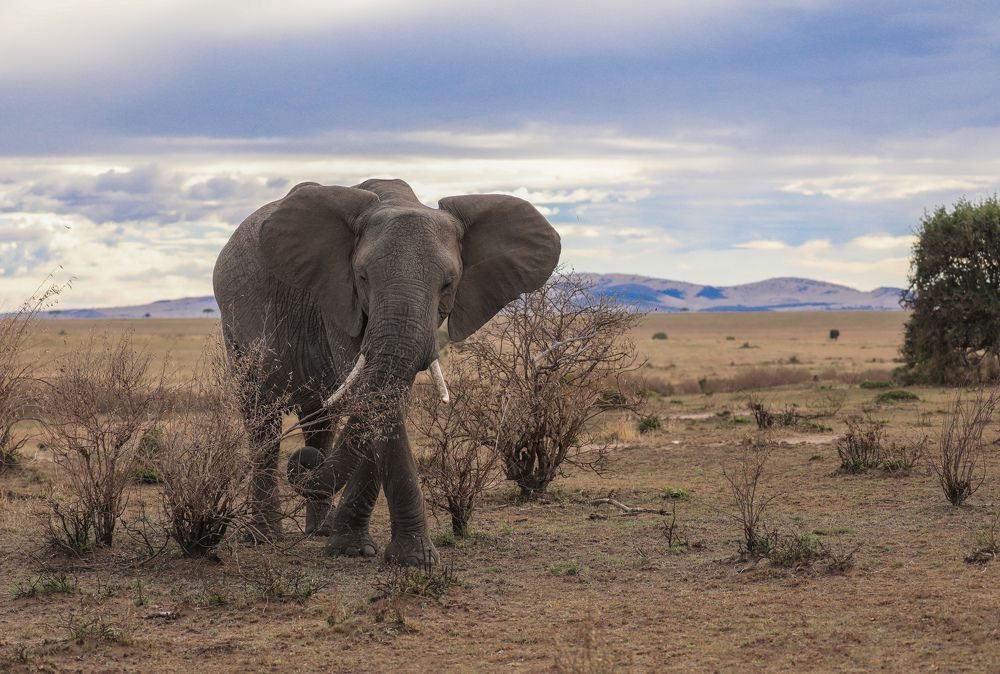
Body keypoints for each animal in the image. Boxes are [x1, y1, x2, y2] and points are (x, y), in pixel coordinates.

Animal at [213, 178, 560, 565]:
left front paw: (368, 550)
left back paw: (319, 528)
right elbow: (370, 397)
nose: (305, 465)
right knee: (261, 416)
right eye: (362, 277)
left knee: (321, 421)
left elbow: (383, 403)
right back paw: (262, 537)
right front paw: (407, 558)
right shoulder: (338, 302)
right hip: (234, 324)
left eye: (449, 283)